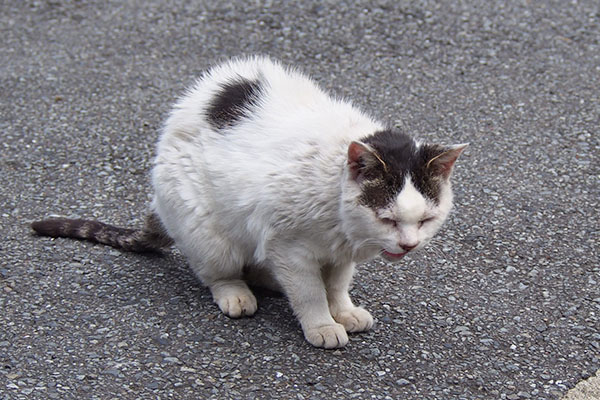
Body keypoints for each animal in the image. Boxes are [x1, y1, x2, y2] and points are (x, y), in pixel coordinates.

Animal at [30, 55, 466, 346]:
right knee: (218, 271)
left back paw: (268, 280)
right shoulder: (288, 244)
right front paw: (322, 324)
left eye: (425, 220)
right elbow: (309, 291)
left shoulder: (337, 252)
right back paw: (237, 293)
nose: (408, 245)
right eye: (388, 219)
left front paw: (342, 310)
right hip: (205, 227)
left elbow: (337, 283)